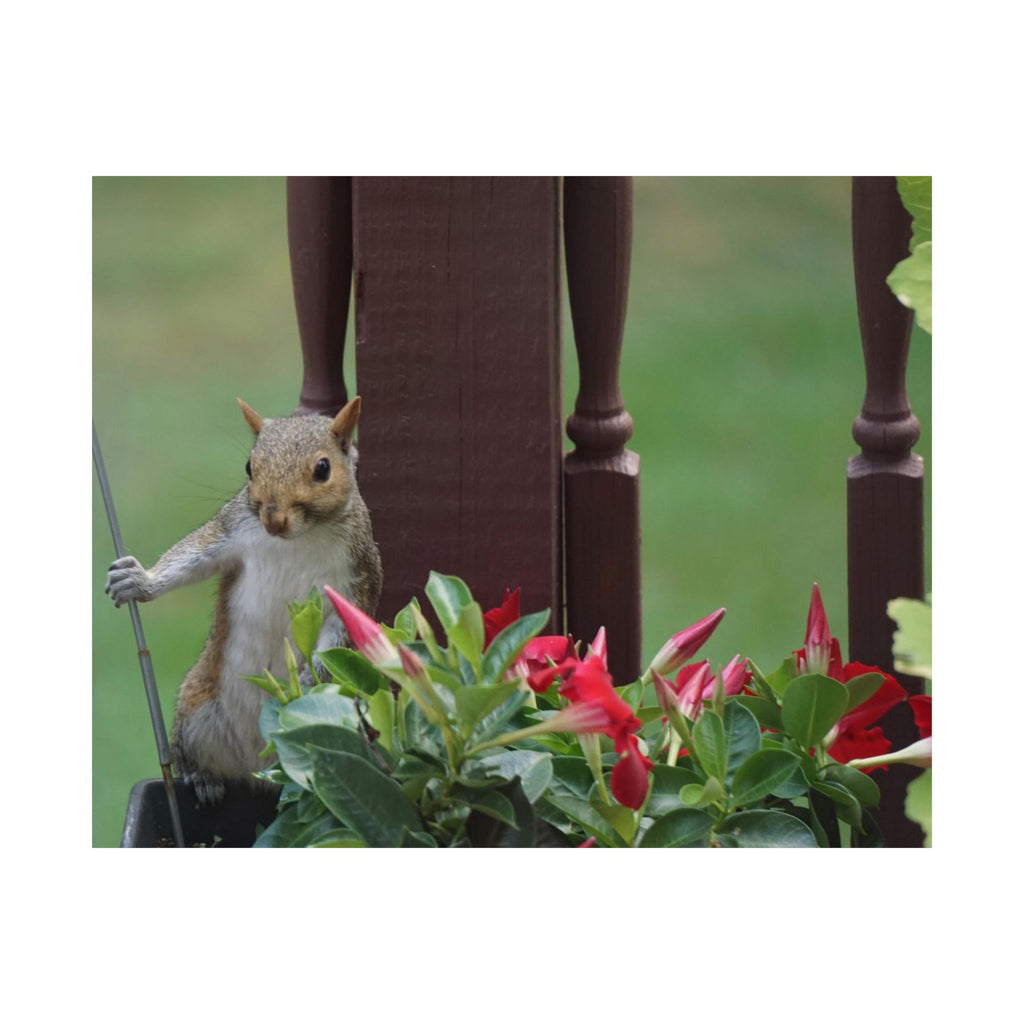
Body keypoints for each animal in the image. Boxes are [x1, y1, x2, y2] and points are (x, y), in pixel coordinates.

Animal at [105, 396, 383, 804]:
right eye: (250, 466)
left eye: (323, 468)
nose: (274, 520)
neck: (299, 538)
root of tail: (259, 769)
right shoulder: (233, 531)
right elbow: (190, 558)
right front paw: (139, 581)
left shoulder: (357, 578)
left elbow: (341, 631)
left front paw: (306, 676)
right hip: (196, 712)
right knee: (196, 759)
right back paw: (203, 781)